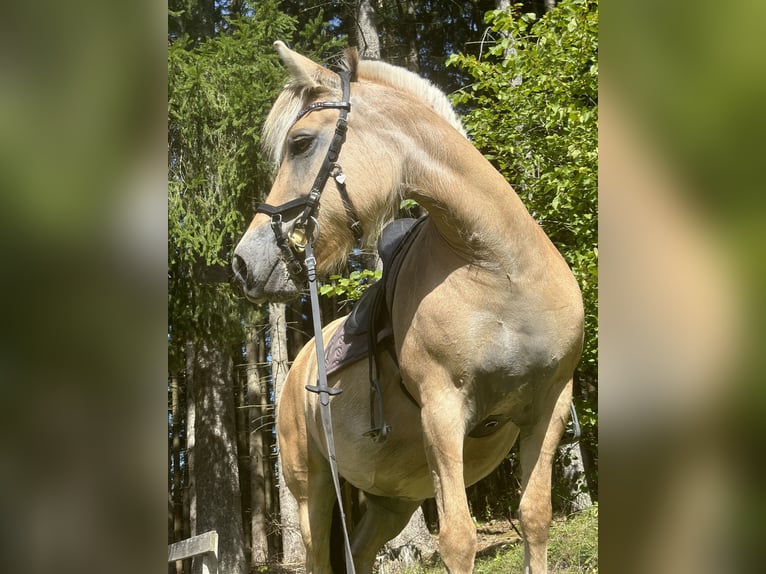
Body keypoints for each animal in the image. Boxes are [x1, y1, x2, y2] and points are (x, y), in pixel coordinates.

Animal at [232, 42, 584, 574]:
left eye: (300, 143)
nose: (242, 262)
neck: (500, 270)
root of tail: (297, 369)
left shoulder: (550, 405)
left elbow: (535, 516)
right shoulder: (442, 409)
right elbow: (458, 539)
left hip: (389, 503)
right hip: (311, 490)